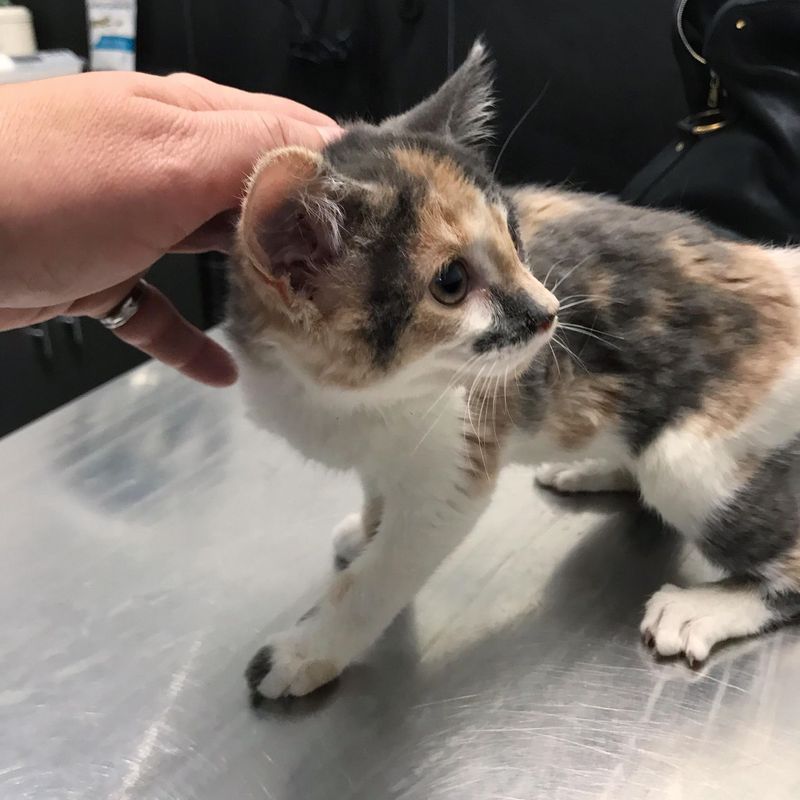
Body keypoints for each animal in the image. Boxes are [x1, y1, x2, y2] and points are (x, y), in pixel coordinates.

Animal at [225, 40, 800, 696]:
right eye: (451, 282)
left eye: (514, 238)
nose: (550, 311)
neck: (349, 397)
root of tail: (779, 268)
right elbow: (378, 490)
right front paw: (368, 527)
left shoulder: (453, 466)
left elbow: (379, 576)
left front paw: (309, 649)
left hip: (693, 457)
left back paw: (704, 607)